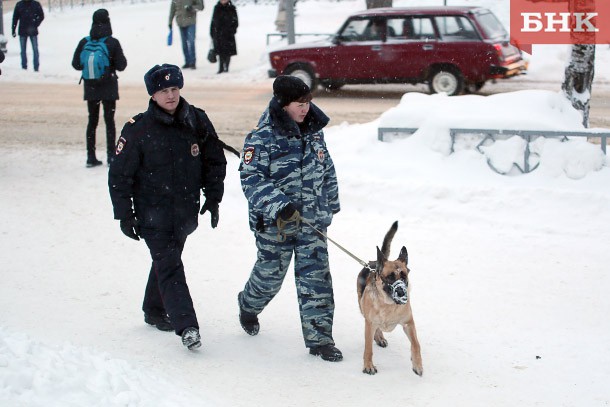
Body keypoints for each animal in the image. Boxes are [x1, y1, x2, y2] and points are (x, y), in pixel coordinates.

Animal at [354, 222, 420, 378]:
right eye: (390, 277)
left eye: (404, 276)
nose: (401, 292)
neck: (388, 305)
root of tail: (374, 262)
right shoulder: (369, 323)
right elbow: (368, 349)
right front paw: (368, 366)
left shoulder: (408, 323)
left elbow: (416, 344)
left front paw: (417, 365)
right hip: (362, 309)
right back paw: (379, 337)